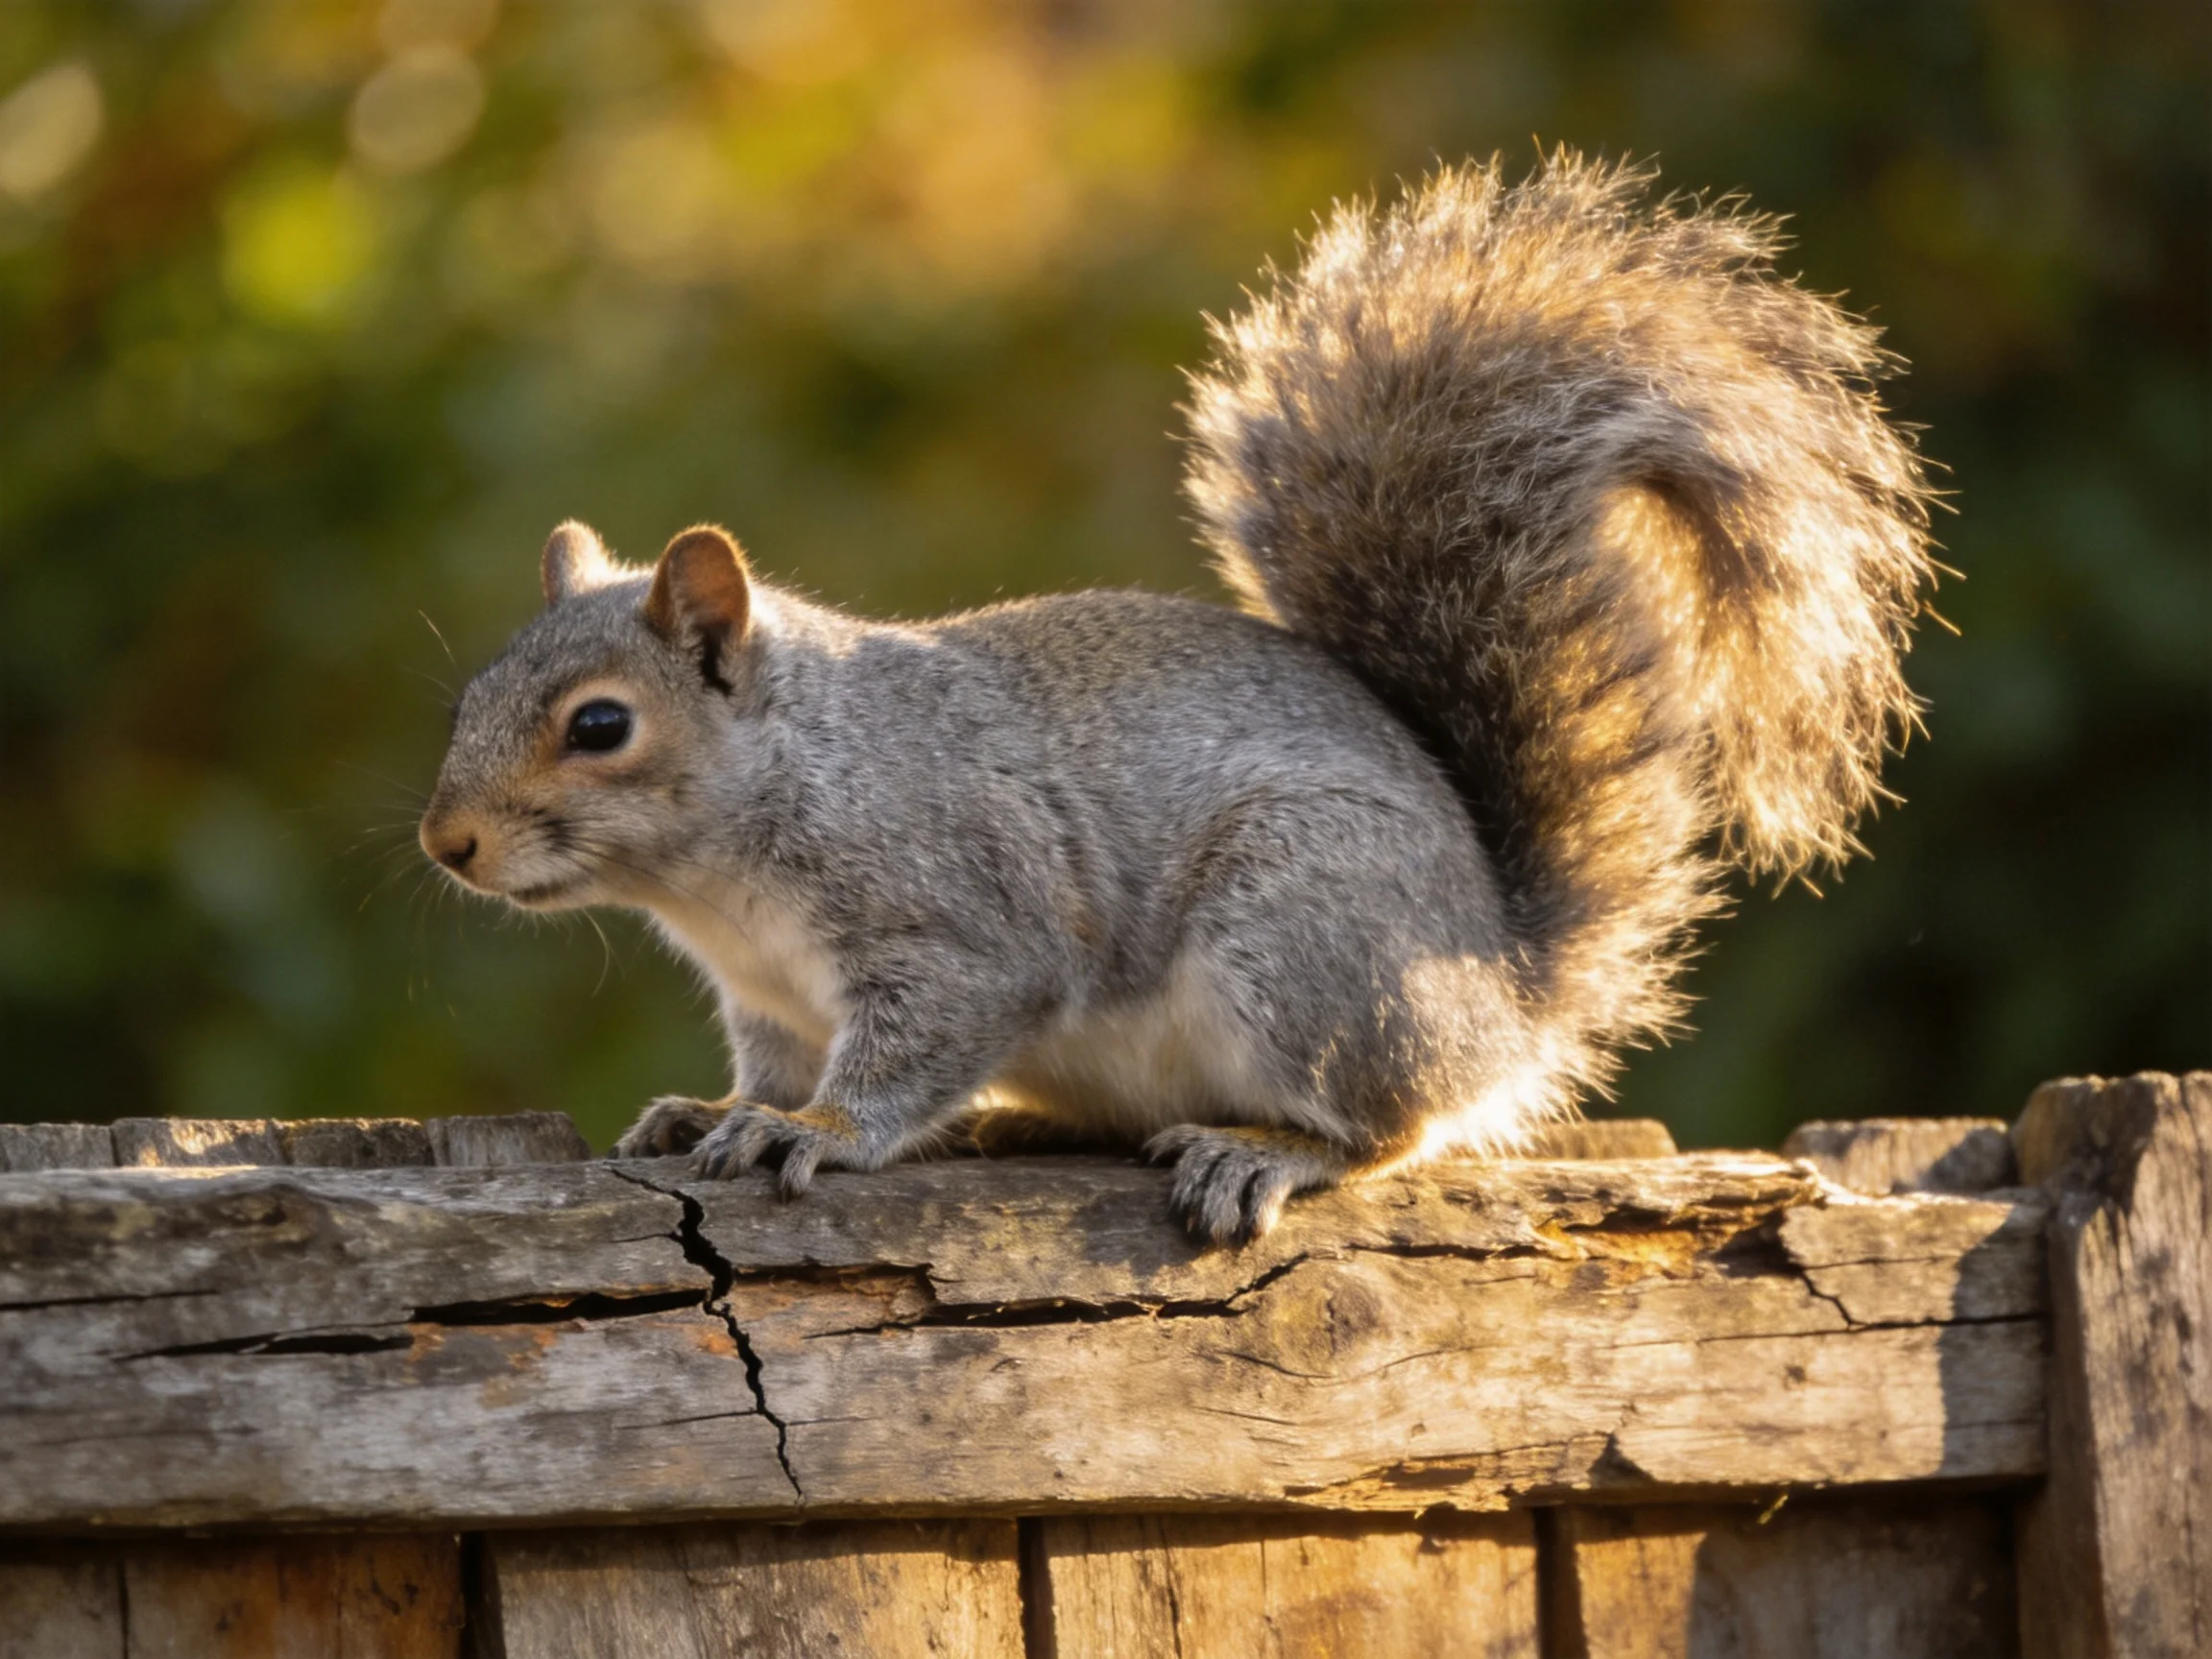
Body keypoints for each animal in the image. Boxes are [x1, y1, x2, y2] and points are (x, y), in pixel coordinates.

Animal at [419, 152, 1935, 1243]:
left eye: (600, 726)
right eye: (470, 696)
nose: (448, 843)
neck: (740, 854)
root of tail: (1506, 992)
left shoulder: (961, 916)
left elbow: (915, 1043)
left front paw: (824, 1136)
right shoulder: (773, 1000)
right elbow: (769, 1068)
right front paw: (710, 1113)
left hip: (1306, 937)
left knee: (1386, 1129)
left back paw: (1260, 1150)